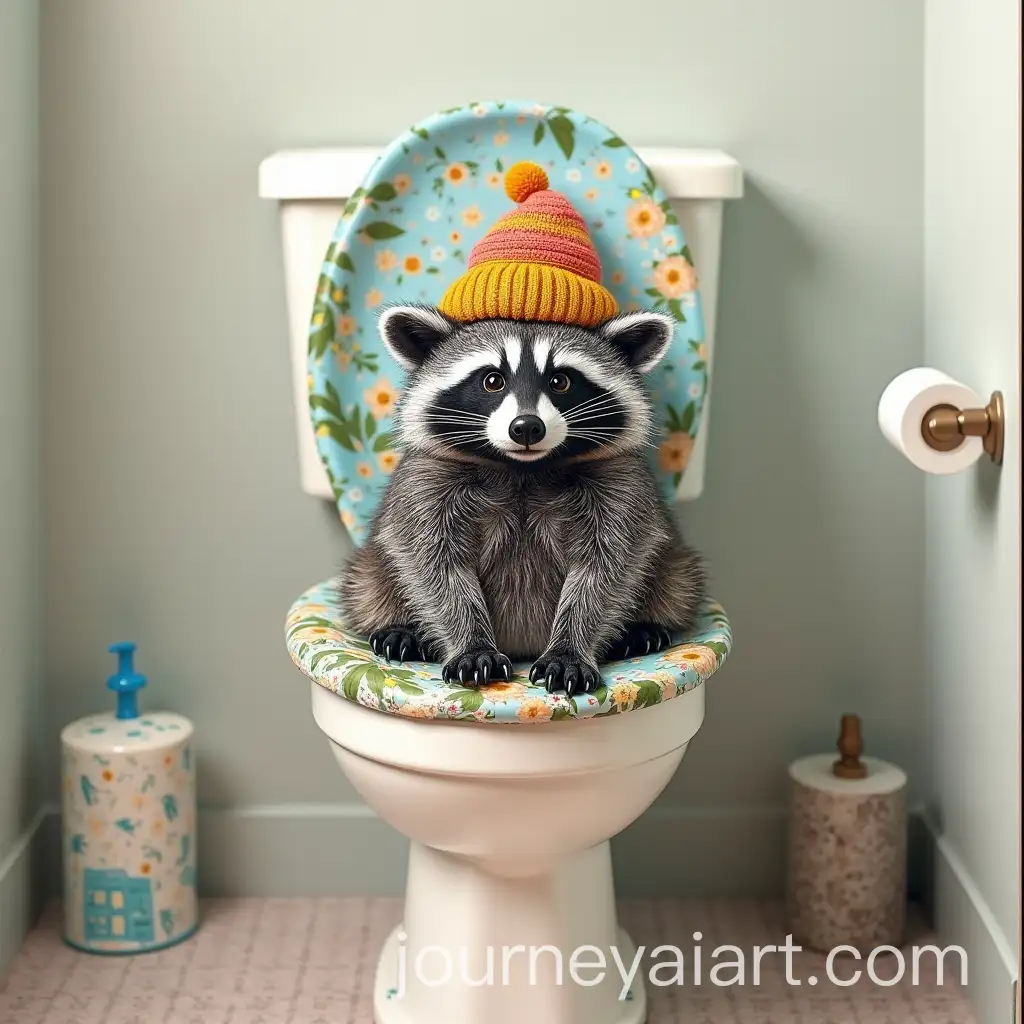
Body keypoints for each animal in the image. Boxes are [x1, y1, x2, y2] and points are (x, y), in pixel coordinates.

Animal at [339, 304, 706, 695]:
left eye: (561, 381)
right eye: (492, 380)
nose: (527, 426)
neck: (522, 468)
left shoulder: (621, 487)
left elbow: (607, 568)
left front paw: (570, 646)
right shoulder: (425, 484)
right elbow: (433, 566)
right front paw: (471, 643)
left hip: (676, 565)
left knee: (676, 579)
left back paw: (642, 627)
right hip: (370, 568)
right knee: (369, 581)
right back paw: (402, 628)